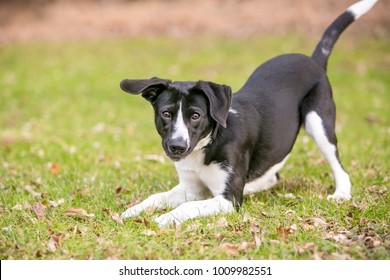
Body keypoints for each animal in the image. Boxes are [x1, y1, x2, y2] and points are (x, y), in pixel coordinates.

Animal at [119, 0, 378, 226]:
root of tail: (313, 60)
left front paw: (165, 218)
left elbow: (189, 206)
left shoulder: (229, 199)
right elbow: (157, 196)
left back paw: (341, 193)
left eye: (195, 115)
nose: (177, 147)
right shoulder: (191, 188)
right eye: (166, 113)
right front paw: (132, 210)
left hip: (319, 122)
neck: (208, 144)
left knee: (339, 167)